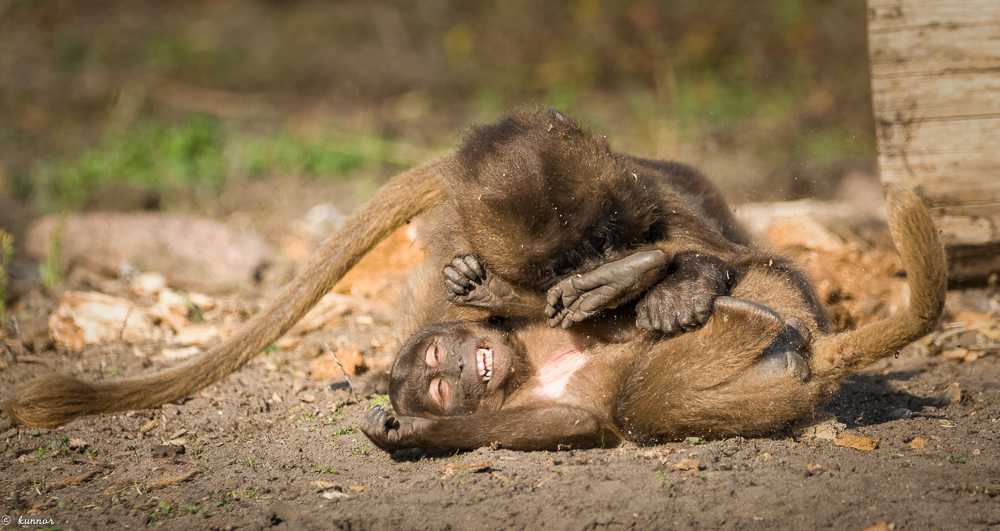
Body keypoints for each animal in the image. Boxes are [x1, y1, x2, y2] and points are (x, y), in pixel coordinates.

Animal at [362, 188, 944, 454]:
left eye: (440, 359)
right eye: (440, 388)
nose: (462, 368)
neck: (523, 368)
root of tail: (817, 356)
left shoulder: (526, 334)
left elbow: (576, 314)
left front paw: (488, 289)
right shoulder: (524, 403)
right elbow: (575, 423)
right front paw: (411, 432)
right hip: (779, 387)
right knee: (640, 406)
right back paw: (746, 325)